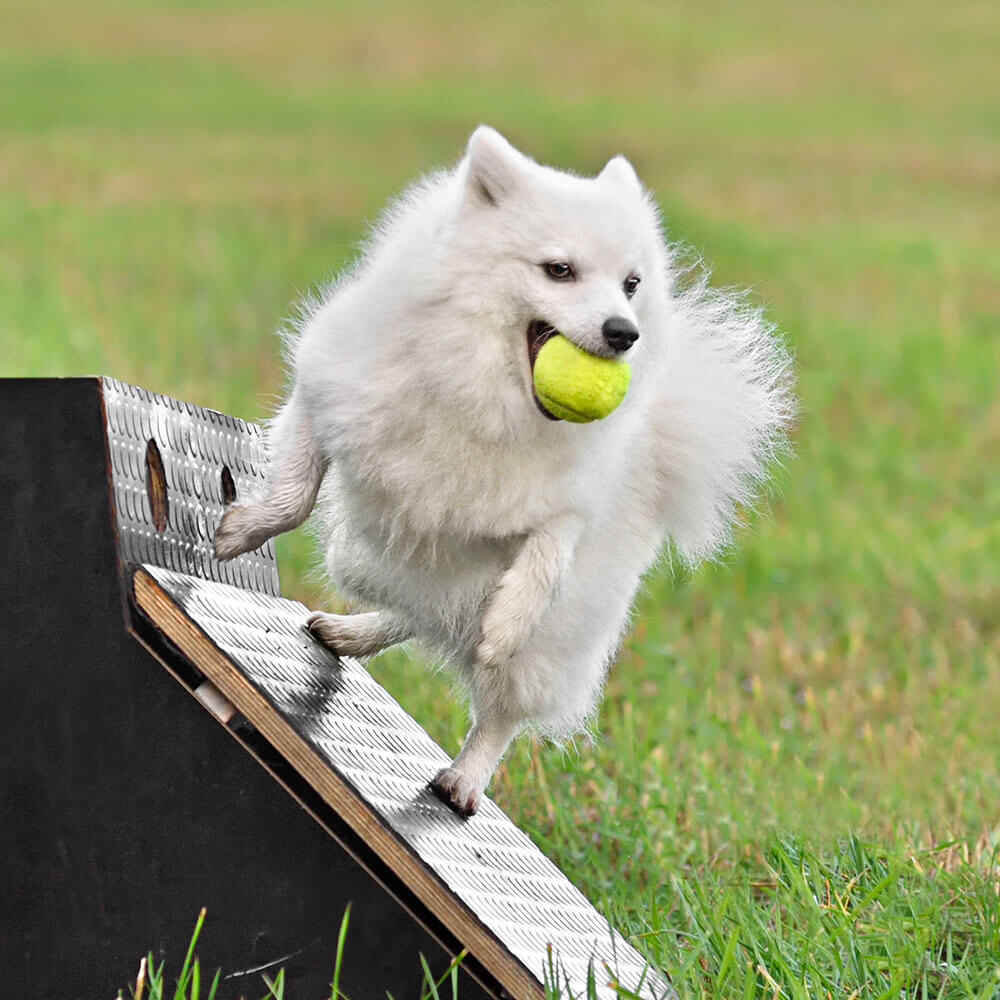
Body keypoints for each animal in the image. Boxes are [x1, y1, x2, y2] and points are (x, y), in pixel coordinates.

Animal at [215, 127, 792, 812]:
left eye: (631, 283)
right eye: (559, 270)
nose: (624, 333)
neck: (488, 393)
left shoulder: (566, 505)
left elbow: (544, 558)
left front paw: (506, 623)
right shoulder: (326, 398)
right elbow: (293, 498)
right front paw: (239, 534)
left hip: (556, 632)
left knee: (495, 698)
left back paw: (464, 776)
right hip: (366, 558)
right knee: (411, 604)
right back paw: (349, 635)